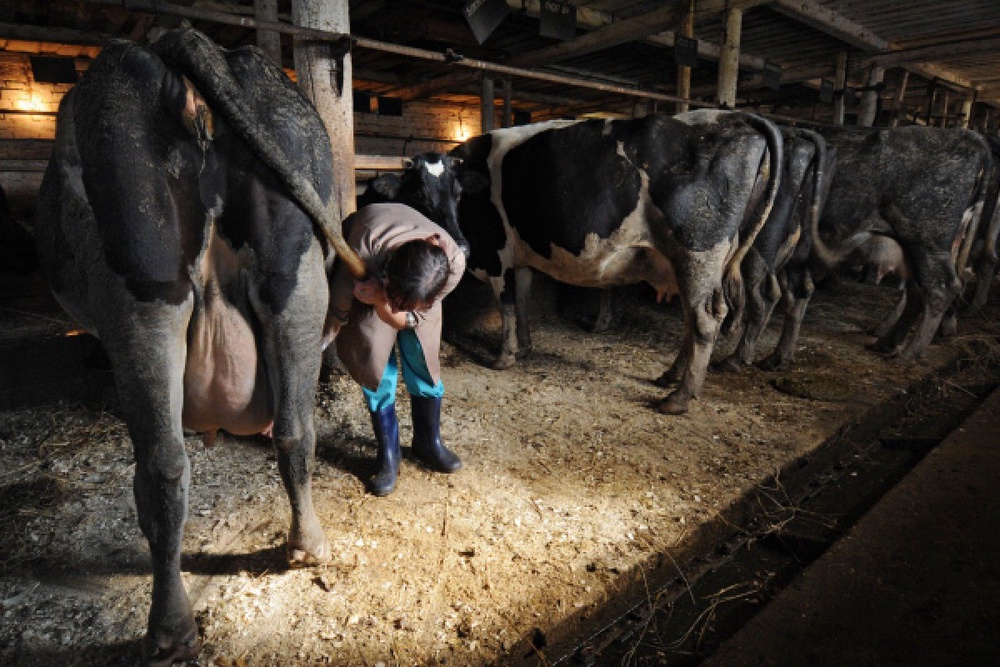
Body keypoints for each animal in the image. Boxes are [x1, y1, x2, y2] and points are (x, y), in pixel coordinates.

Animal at [31, 27, 368, 667]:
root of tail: (184, 40)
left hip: (144, 287)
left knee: (162, 464)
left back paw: (169, 628)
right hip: (295, 275)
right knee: (295, 430)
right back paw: (308, 547)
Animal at [438, 113, 780, 414]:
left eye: (453, 193)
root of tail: (735, 118)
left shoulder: (496, 255)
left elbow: (506, 304)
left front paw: (503, 357)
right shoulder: (520, 258)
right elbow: (521, 300)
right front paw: (523, 347)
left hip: (697, 253)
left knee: (705, 319)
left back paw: (679, 397)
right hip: (696, 265)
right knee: (692, 319)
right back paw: (669, 376)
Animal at [812, 124, 992, 360]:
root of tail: (967, 135)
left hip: (926, 239)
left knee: (942, 288)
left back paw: (909, 354)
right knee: (918, 290)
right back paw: (886, 343)